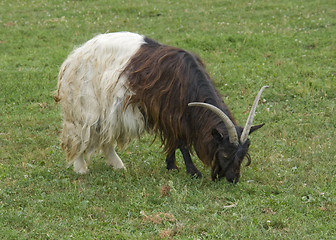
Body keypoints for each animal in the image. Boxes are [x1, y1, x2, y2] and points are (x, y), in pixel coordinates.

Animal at [53, 31, 268, 182]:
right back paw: (81, 168)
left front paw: (171, 165)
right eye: (224, 153)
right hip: (86, 105)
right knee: (80, 134)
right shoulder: (169, 112)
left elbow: (173, 140)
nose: (232, 179)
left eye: (243, 155)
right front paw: (193, 171)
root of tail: (74, 56)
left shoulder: (168, 113)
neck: (185, 80)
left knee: (106, 137)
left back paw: (118, 165)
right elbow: (181, 141)